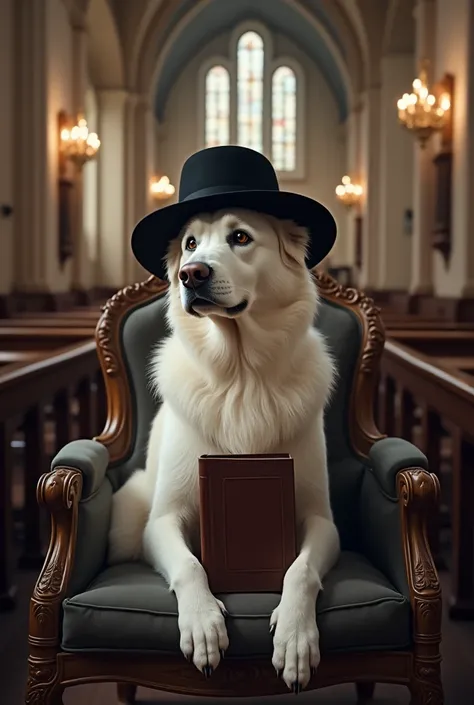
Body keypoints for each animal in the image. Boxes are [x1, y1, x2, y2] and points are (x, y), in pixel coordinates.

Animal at [110, 206, 340, 692]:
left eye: (241, 237)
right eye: (191, 244)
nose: (190, 274)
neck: (241, 375)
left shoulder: (321, 520)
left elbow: (300, 570)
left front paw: (295, 637)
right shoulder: (162, 521)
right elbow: (190, 566)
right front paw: (203, 625)